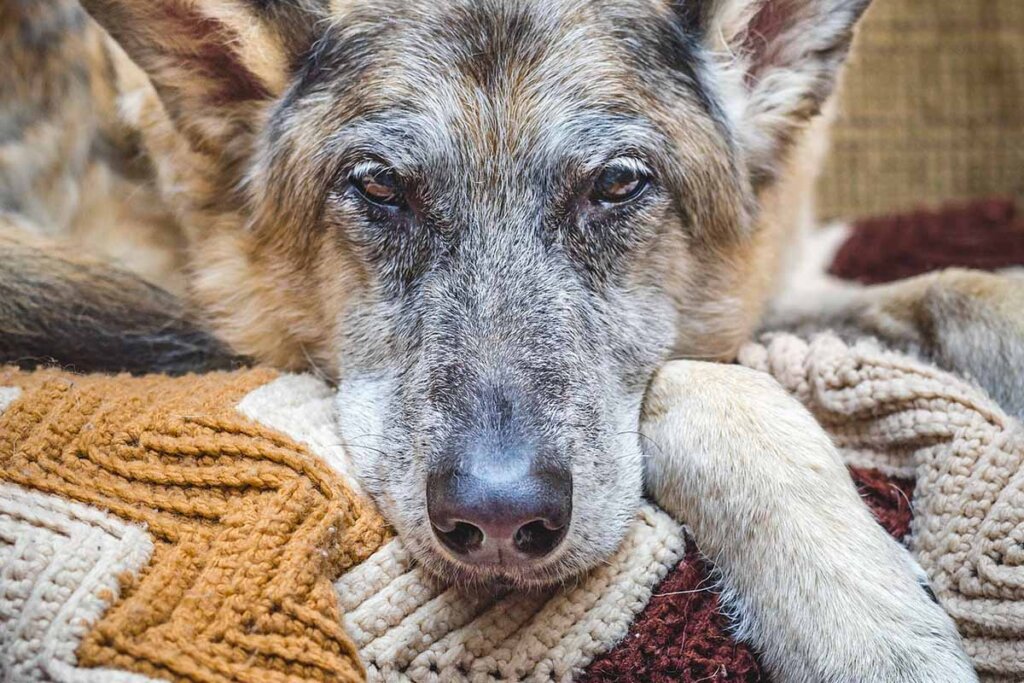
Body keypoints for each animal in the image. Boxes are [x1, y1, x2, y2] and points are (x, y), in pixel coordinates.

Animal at [4, 0, 1019, 679]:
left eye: (617, 185)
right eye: (380, 187)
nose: (495, 522)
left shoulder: (787, 284)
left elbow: (956, 289)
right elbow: (705, 384)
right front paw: (856, 615)